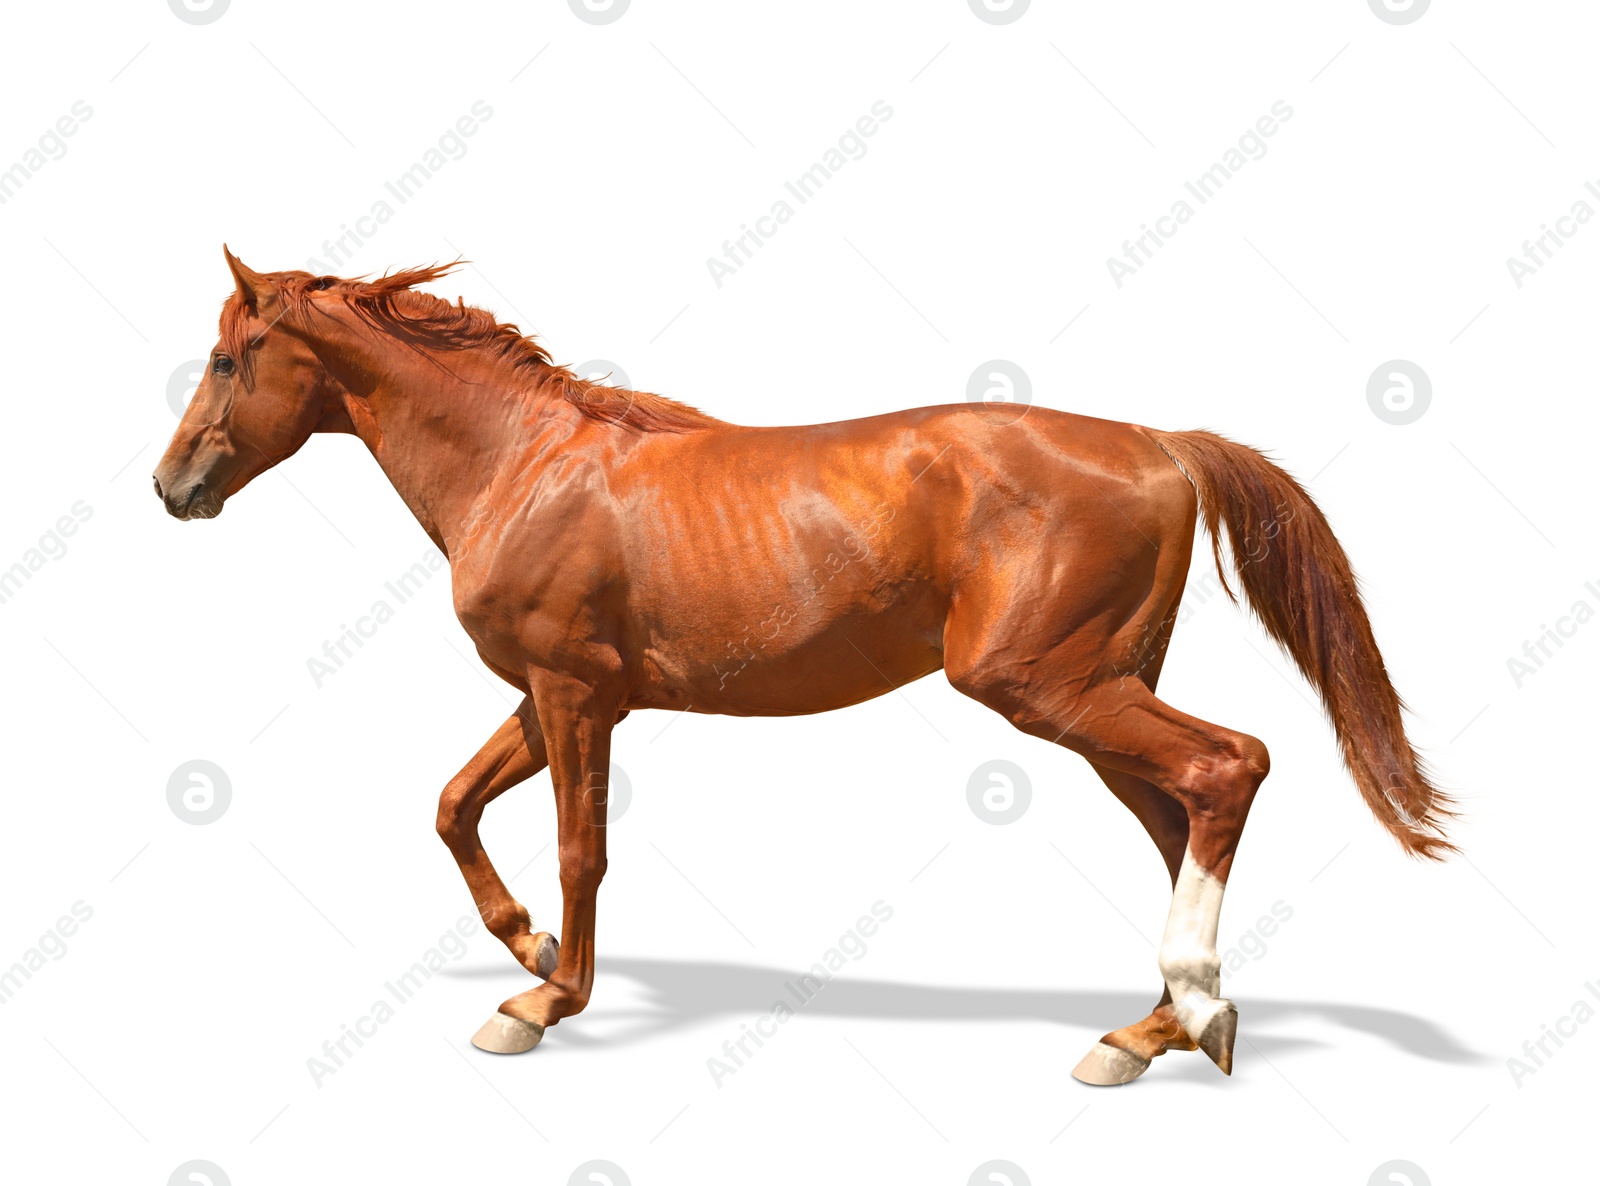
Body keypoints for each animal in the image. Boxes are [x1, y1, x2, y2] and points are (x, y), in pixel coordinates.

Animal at [156, 249, 1459, 1081]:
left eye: (229, 356)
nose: (173, 486)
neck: (524, 465)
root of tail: (1161, 445)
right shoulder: (557, 695)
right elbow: (452, 805)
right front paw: (526, 945)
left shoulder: (575, 694)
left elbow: (582, 851)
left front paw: (542, 1001)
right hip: (1097, 696)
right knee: (1182, 813)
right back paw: (1148, 1036)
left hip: (1049, 688)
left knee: (1230, 767)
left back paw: (1190, 1006)